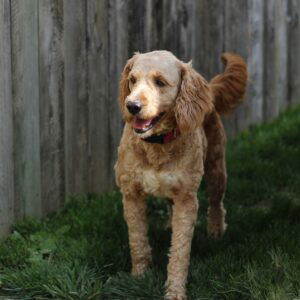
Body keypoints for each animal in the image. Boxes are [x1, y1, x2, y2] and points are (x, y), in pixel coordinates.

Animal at [114, 50, 246, 298]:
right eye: (132, 80)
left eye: (160, 82)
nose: (132, 105)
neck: (157, 144)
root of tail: (208, 87)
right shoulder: (132, 195)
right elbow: (138, 241)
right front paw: (139, 276)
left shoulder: (187, 199)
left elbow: (180, 251)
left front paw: (174, 291)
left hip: (216, 169)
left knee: (216, 204)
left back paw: (216, 231)